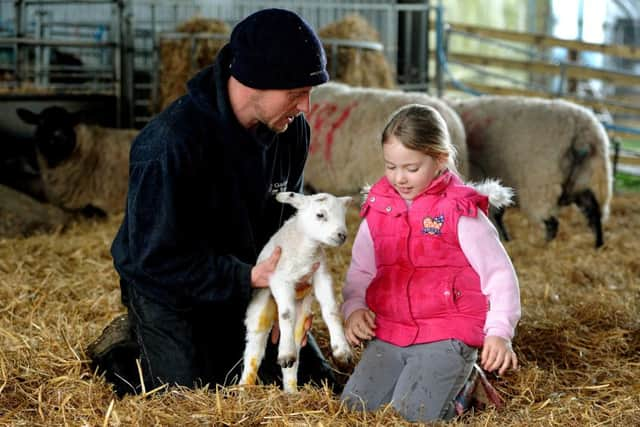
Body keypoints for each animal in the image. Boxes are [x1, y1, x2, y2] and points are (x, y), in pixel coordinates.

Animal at [239, 192, 352, 392]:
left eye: (343, 216)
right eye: (320, 215)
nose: (342, 235)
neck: (306, 251)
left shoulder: (320, 274)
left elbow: (330, 309)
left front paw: (341, 349)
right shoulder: (279, 278)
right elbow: (286, 313)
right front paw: (284, 352)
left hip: (302, 317)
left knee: (295, 354)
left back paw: (291, 390)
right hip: (260, 306)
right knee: (255, 349)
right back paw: (245, 387)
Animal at [448, 94, 612, 247]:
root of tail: (581, 133)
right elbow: (498, 213)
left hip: (542, 183)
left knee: (551, 221)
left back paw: (545, 246)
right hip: (588, 178)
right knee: (594, 211)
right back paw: (598, 245)